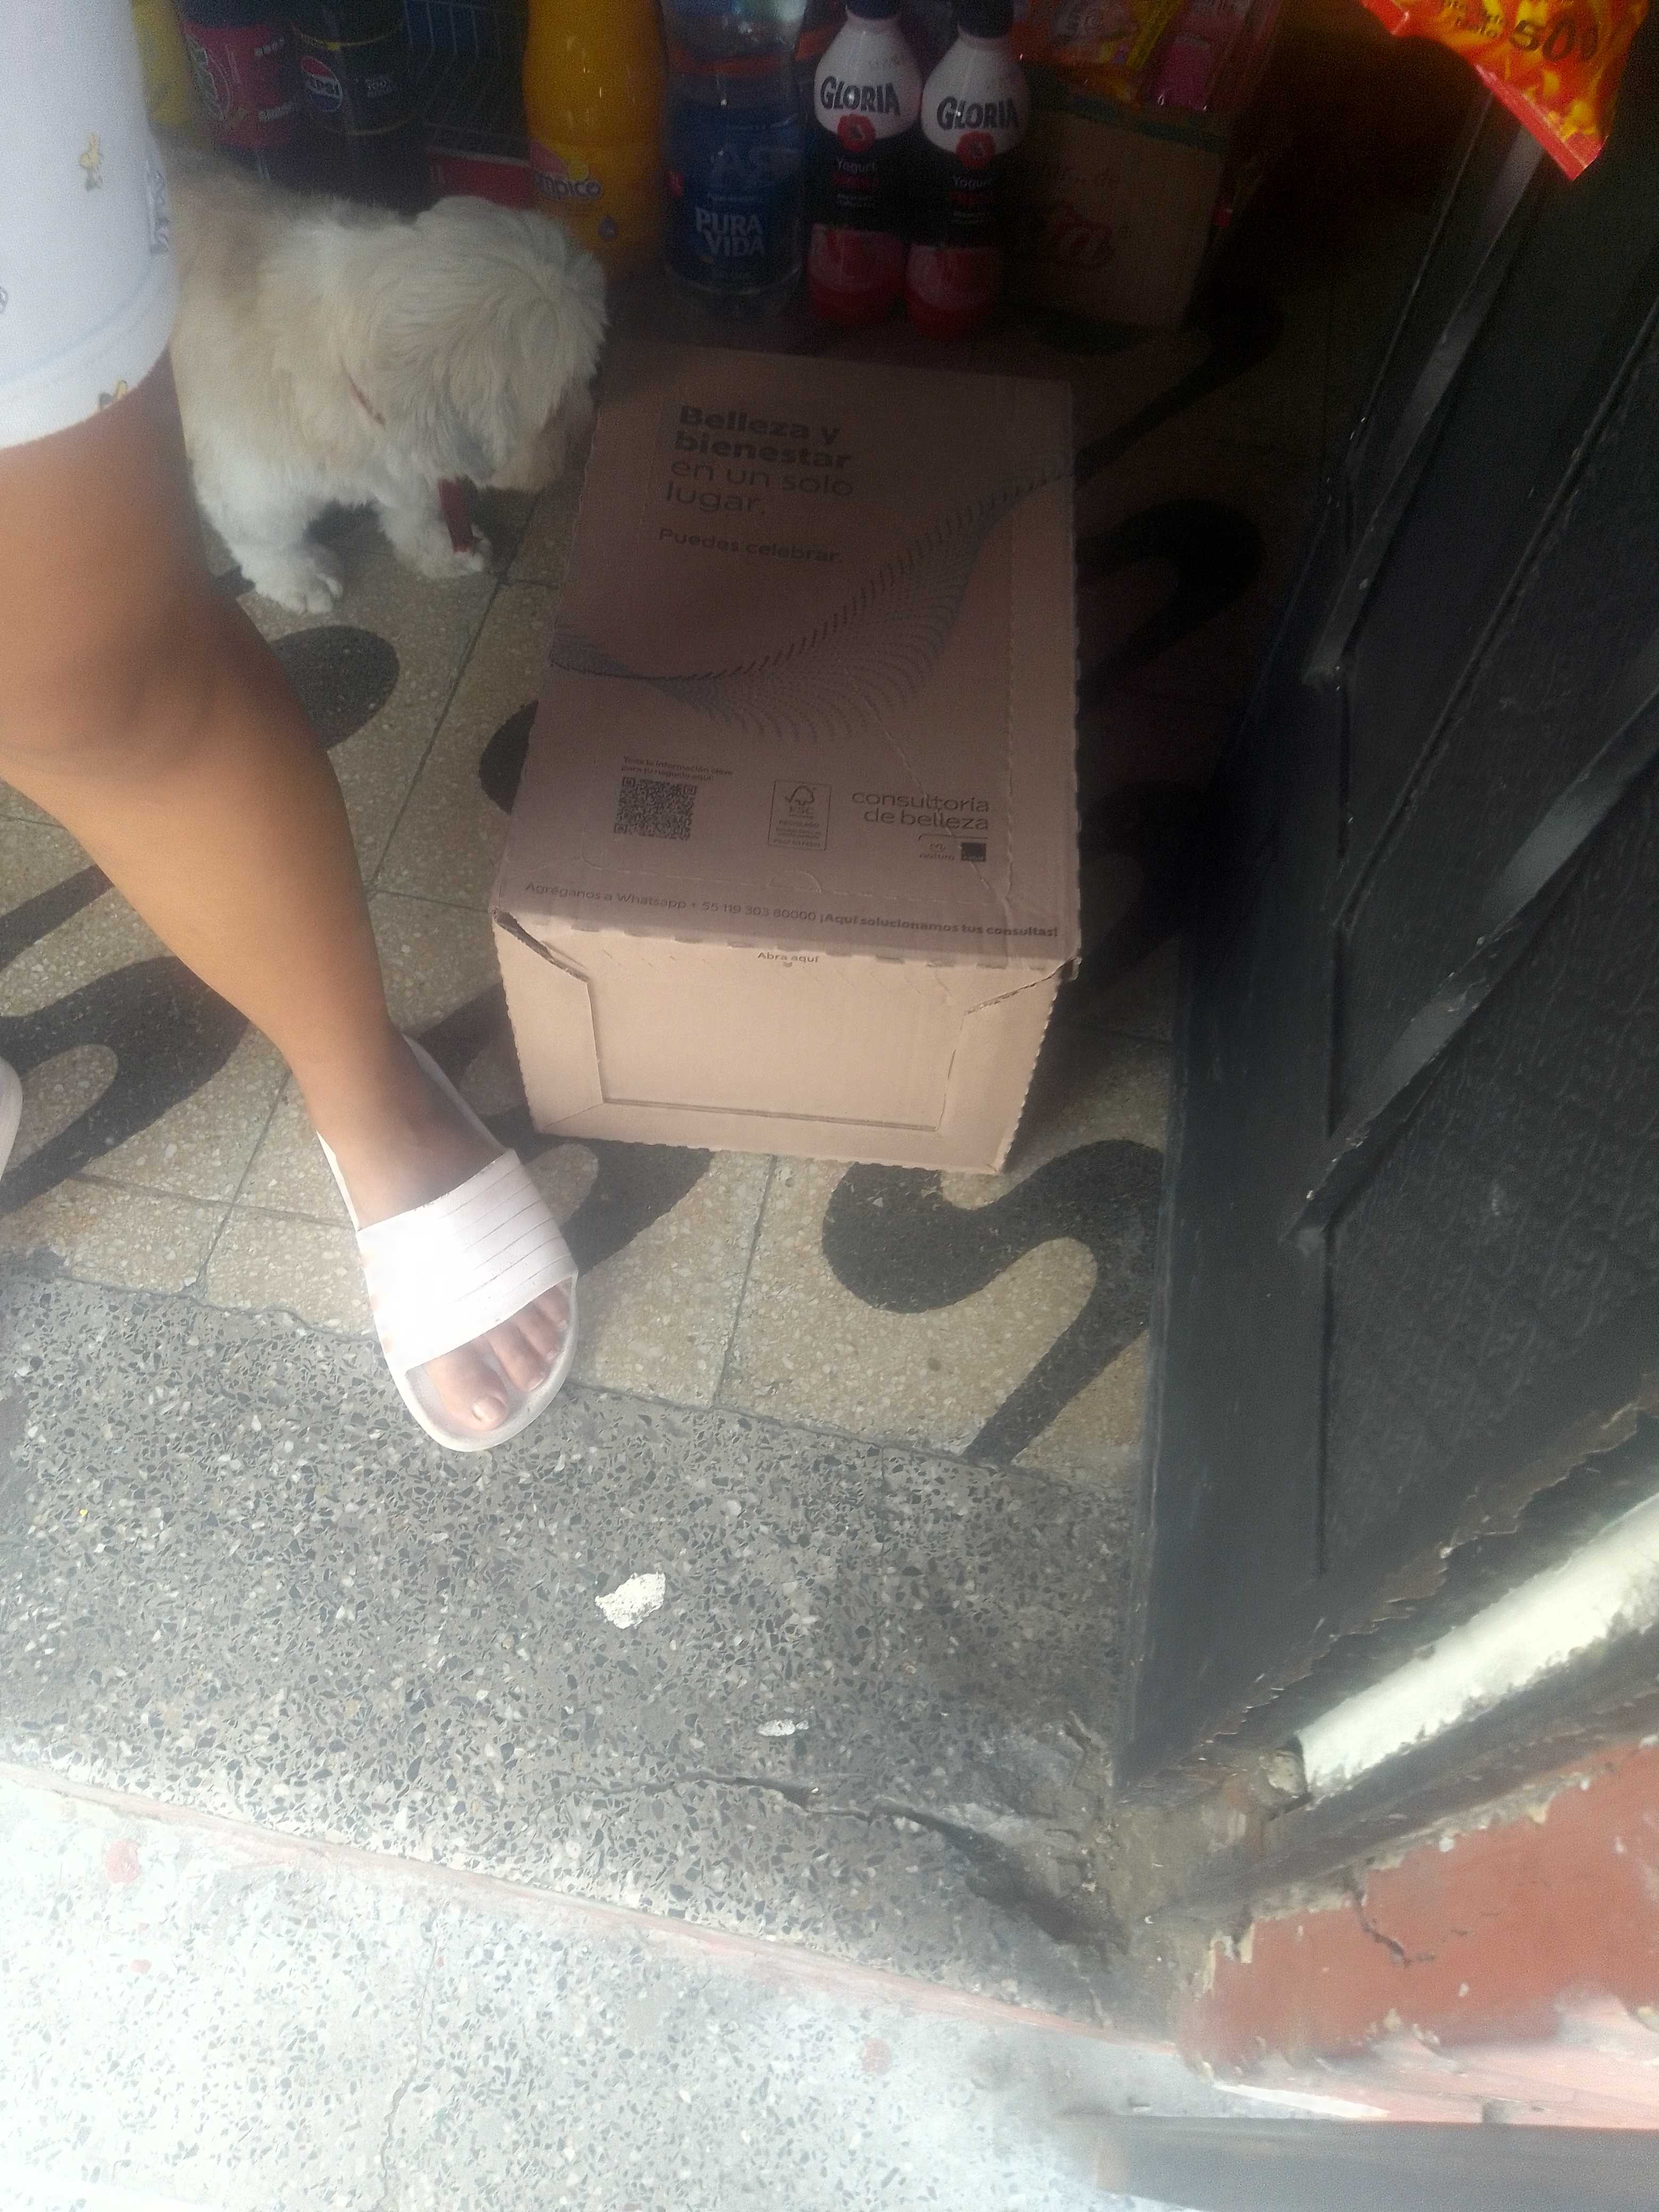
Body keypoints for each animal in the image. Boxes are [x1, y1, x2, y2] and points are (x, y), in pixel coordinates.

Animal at [164, 150, 606, 614]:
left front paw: (438, 547)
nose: (591, 410)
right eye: (558, 403)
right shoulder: (253, 482)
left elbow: (415, 505)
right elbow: (268, 539)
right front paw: (301, 578)